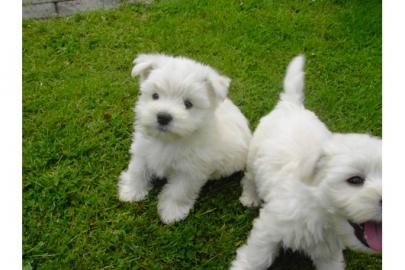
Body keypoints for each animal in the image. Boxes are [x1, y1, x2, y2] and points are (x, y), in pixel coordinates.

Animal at [117, 53, 251, 225]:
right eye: (155, 96)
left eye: (188, 104)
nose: (163, 117)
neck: (168, 140)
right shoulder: (142, 151)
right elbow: (137, 171)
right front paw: (131, 191)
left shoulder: (189, 171)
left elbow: (178, 192)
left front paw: (171, 213)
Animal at [229, 55, 380, 270]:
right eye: (355, 180)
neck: (319, 210)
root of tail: (291, 105)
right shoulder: (270, 228)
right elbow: (257, 256)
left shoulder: (329, 250)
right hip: (253, 157)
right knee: (249, 179)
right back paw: (250, 197)